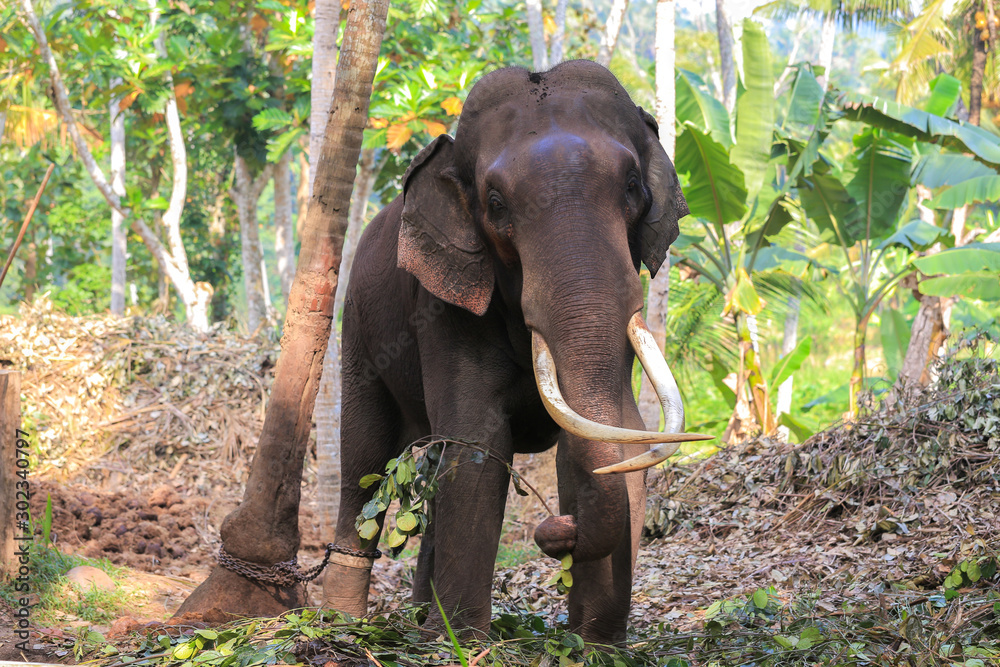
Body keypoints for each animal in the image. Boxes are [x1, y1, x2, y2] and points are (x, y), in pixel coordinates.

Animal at [322, 59, 708, 645]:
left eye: (633, 185)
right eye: (496, 205)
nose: (556, 530)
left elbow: (614, 431)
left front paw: (594, 644)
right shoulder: (444, 306)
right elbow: (478, 441)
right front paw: (463, 642)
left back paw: (421, 621)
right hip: (359, 334)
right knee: (365, 459)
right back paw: (343, 622)